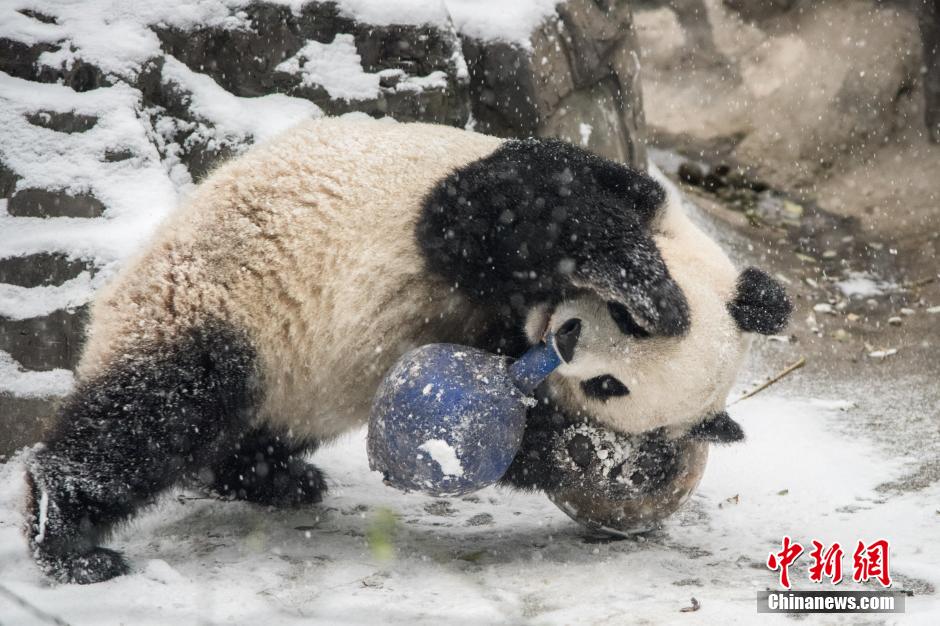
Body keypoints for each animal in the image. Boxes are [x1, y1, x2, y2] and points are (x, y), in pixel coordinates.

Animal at [22, 114, 788, 584]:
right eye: (625, 323)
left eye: (610, 388)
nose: (567, 340)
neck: (520, 316)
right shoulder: (594, 187)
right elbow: (501, 207)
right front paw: (651, 286)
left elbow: (515, 440)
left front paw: (597, 454)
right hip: (215, 296)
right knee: (156, 412)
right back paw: (67, 536)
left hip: (293, 378)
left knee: (220, 427)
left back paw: (272, 477)